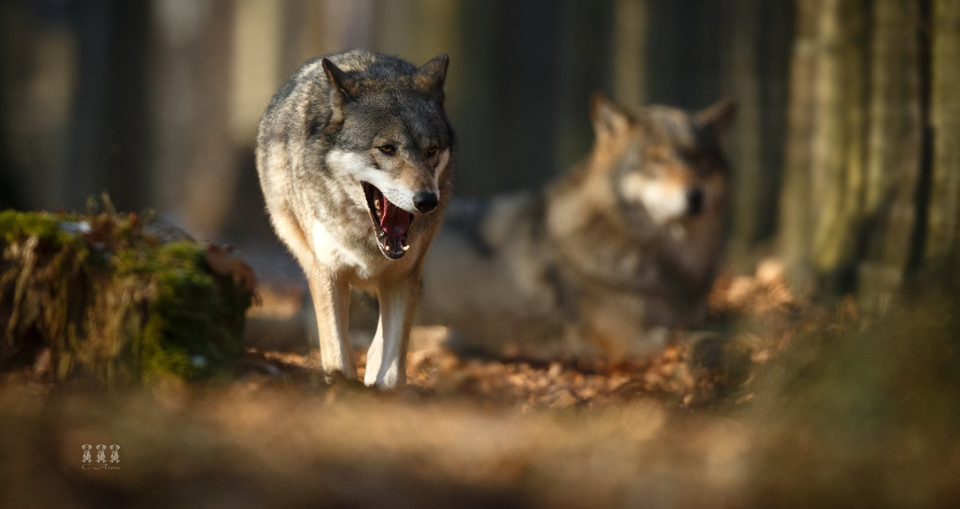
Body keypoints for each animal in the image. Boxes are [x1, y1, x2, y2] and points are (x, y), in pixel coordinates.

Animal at [256, 50, 454, 388]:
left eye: (432, 150)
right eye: (386, 148)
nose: (427, 201)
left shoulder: (404, 274)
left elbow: (392, 369)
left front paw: (382, 390)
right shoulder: (327, 272)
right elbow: (337, 356)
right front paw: (342, 391)